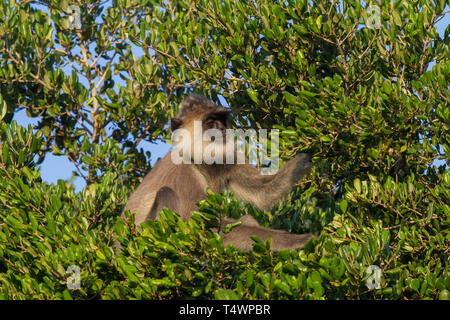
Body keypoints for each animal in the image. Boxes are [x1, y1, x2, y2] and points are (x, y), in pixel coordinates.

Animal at [121, 94, 314, 251]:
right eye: (210, 122)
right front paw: (298, 240)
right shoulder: (184, 170)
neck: (199, 161)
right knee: (166, 193)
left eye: (221, 120)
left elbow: (262, 194)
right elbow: (200, 227)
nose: (221, 129)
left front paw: (305, 159)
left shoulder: (228, 159)